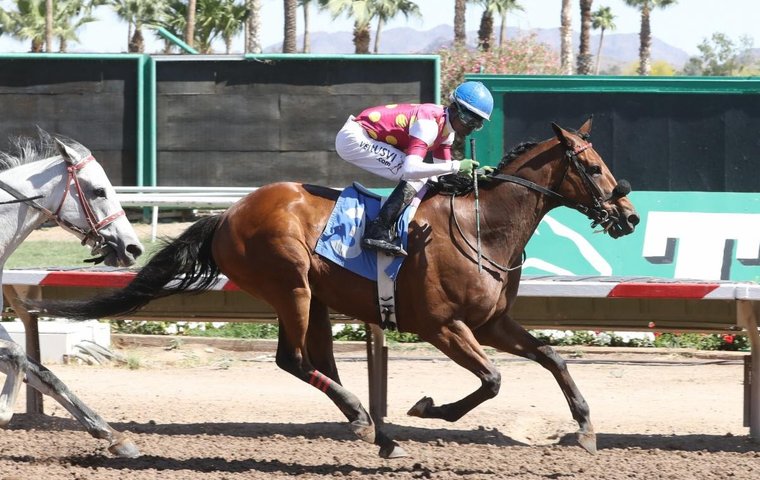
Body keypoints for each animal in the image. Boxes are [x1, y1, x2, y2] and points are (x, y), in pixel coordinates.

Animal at [0, 131, 144, 457]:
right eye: (99, 191)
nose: (133, 248)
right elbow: (18, 356)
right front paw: (2, 412)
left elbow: (41, 372)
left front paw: (114, 436)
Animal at [31, 118, 639, 458]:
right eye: (592, 166)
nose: (629, 216)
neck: (482, 225)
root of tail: (227, 214)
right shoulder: (441, 325)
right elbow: (491, 380)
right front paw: (427, 408)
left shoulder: (491, 321)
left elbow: (552, 358)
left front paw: (586, 429)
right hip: (290, 287)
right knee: (293, 360)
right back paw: (369, 421)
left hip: (317, 299)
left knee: (316, 361)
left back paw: (375, 430)